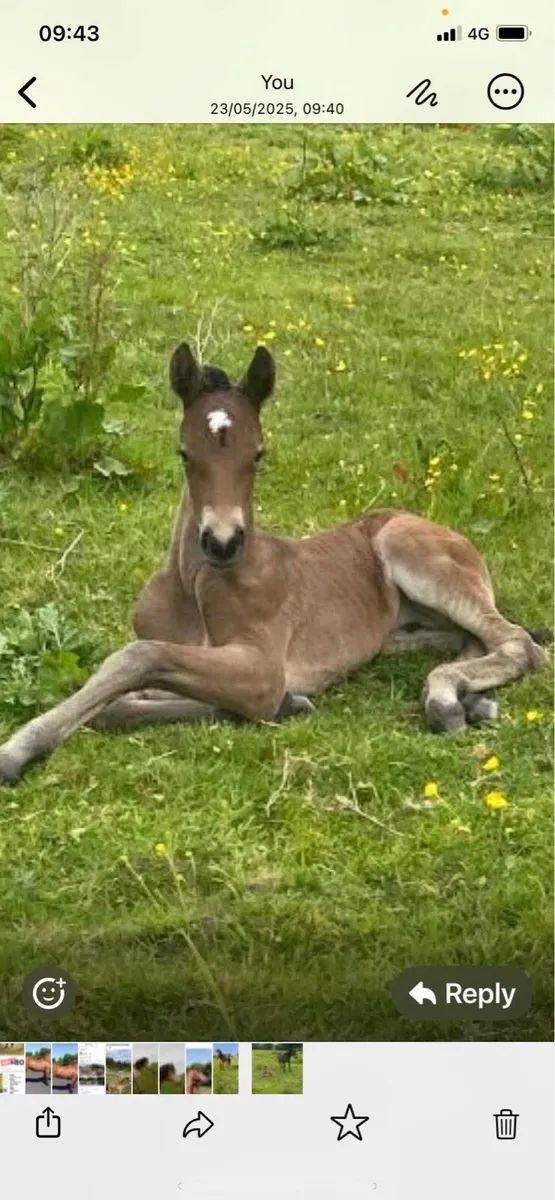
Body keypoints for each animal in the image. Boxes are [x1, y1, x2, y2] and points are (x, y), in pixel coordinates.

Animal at [0, 343, 546, 787]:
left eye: (258, 453)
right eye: (184, 452)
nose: (222, 542)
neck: (195, 587)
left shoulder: (261, 663)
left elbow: (138, 659)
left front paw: (16, 750)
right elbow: (113, 703)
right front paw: (289, 703)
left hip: (412, 553)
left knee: (520, 642)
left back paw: (446, 701)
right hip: (402, 628)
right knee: (469, 639)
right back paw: (466, 697)